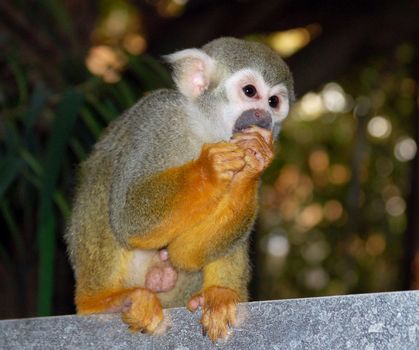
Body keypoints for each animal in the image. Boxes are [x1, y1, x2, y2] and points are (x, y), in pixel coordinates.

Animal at [66, 37, 296, 340]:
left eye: (274, 102)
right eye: (250, 92)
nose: (264, 115)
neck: (205, 131)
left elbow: (185, 253)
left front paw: (251, 165)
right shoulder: (158, 120)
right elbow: (130, 217)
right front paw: (210, 167)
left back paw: (219, 294)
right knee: (106, 177)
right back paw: (99, 301)